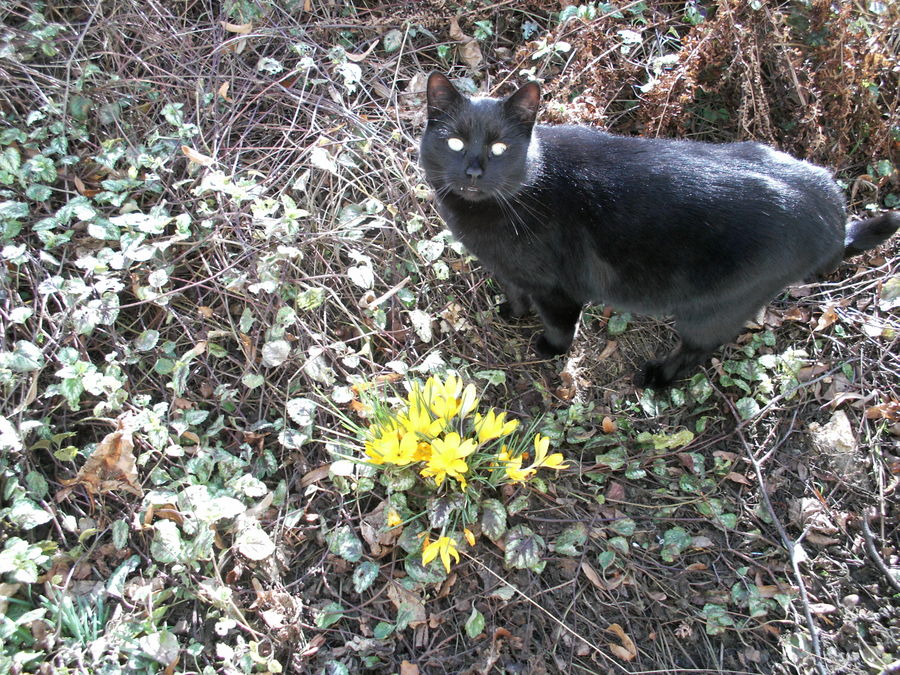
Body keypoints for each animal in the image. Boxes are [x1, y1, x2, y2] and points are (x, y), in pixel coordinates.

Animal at [420, 71, 900, 388]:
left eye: (501, 147)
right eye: (455, 142)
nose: (474, 171)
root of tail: (832, 210)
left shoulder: (558, 289)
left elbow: (560, 325)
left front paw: (549, 348)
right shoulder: (510, 269)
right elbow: (515, 290)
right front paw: (512, 312)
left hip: (713, 307)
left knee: (699, 349)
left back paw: (658, 377)